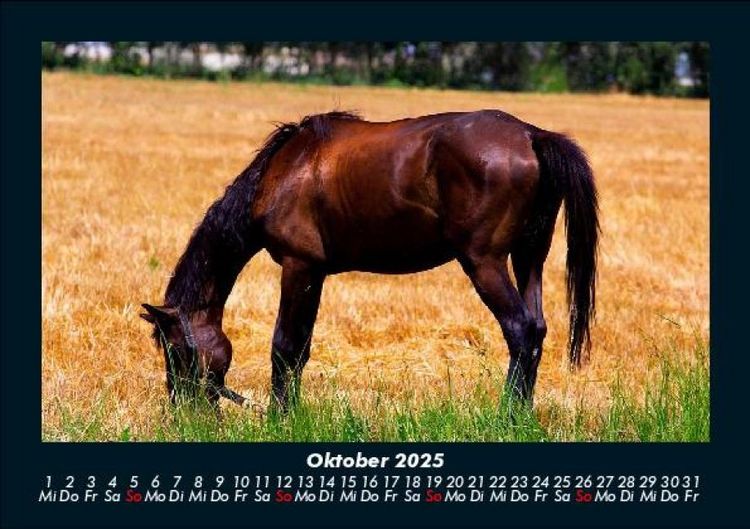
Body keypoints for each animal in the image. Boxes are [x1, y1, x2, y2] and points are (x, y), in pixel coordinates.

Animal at [140, 109, 599, 410]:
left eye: (175, 350)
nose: (184, 412)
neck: (283, 171)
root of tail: (531, 135)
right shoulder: (316, 272)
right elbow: (301, 348)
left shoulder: (297, 266)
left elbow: (284, 347)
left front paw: (279, 418)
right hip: (528, 259)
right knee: (536, 328)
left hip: (484, 262)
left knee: (520, 330)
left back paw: (507, 416)